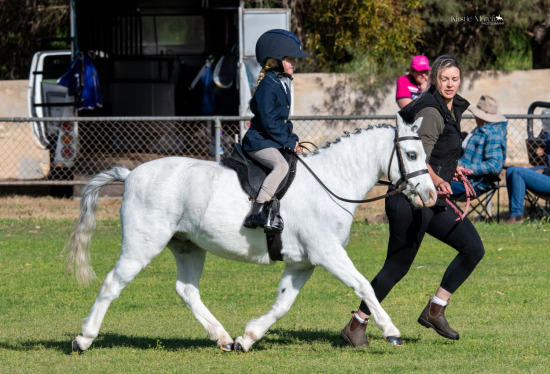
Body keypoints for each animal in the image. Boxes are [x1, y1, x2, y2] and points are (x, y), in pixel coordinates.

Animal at [67, 114, 436, 354]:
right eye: (412, 154)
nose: (432, 196)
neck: (331, 182)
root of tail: (130, 175)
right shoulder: (328, 253)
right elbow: (364, 286)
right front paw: (392, 332)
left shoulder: (302, 263)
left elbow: (283, 303)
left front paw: (248, 338)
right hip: (142, 244)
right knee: (112, 283)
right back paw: (83, 338)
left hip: (188, 246)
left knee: (187, 290)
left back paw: (222, 338)